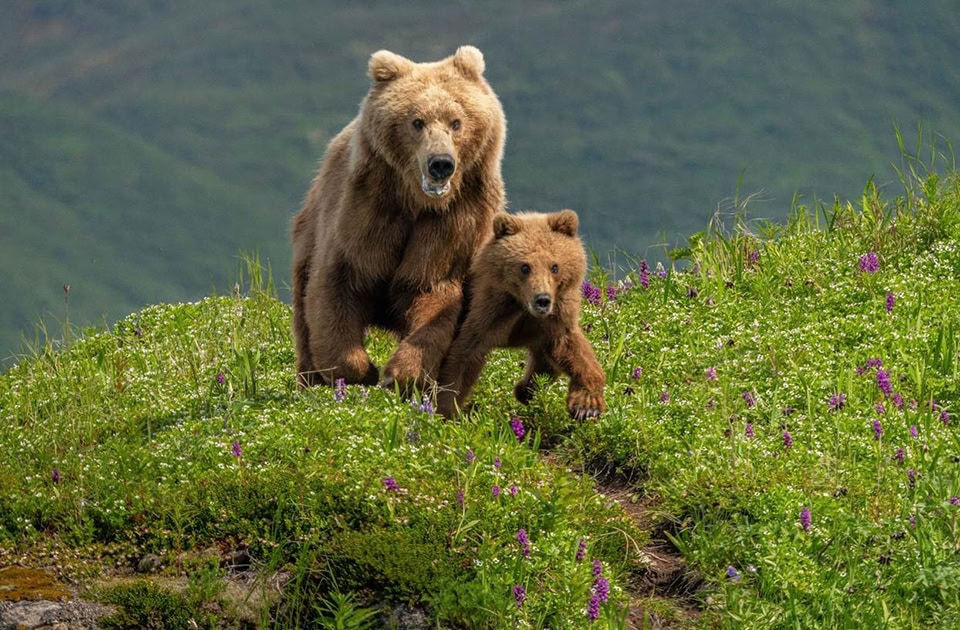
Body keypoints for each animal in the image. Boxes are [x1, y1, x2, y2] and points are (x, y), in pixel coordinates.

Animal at [291, 46, 506, 390]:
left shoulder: (456, 223)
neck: (415, 201)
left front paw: (402, 374)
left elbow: (433, 294)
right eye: (417, 121)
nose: (440, 163)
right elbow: (337, 286)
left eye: (456, 122)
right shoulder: (367, 213)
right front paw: (361, 369)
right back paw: (311, 380)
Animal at [436, 210, 607, 420]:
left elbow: (574, 350)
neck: (522, 305)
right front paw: (445, 409)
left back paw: (526, 389)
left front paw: (586, 406)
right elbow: (464, 355)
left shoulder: (556, 317)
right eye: (525, 267)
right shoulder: (489, 311)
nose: (542, 299)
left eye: (555, 266)